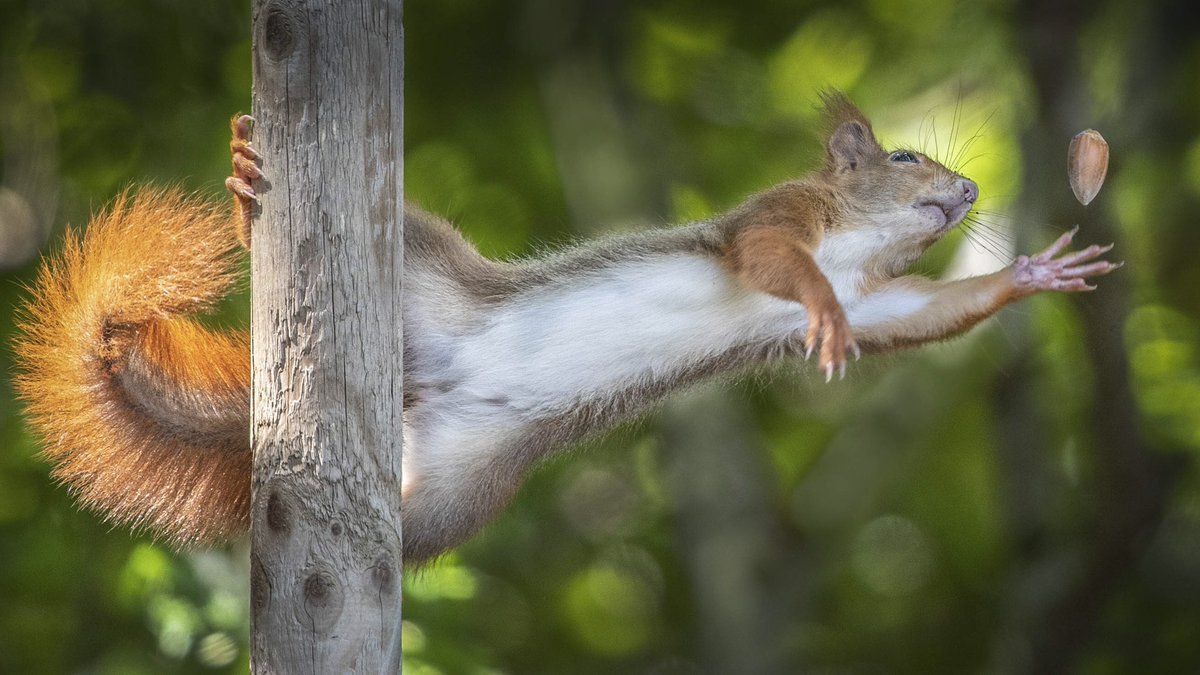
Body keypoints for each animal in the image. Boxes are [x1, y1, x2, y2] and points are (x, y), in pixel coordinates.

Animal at [11, 91, 1113, 559]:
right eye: (907, 159)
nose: (970, 192)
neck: (857, 244)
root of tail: (418, 390)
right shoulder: (773, 219)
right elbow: (777, 263)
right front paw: (824, 312)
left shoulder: (889, 290)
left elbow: (915, 315)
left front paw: (1032, 273)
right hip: (411, 264)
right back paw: (248, 184)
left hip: (452, 494)